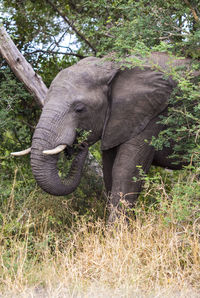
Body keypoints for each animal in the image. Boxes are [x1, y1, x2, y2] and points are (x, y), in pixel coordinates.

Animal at [11, 51, 197, 219]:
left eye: (80, 109)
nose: (81, 145)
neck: (113, 65)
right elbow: (109, 171)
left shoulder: (153, 114)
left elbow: (125, 170)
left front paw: (117, 232)